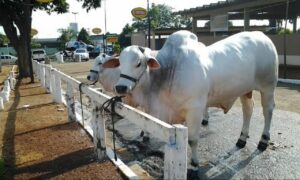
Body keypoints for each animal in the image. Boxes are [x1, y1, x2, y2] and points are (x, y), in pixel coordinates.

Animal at [103, 30, 278, 166]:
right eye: (119, 62)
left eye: (139, 63)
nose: (120, 87)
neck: (168, 72)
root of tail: (263, 36)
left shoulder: (195, 111)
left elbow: (193, 140)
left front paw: (194, 163)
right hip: (245, 90)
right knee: (248, 110)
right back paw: (241, 139)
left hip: (268, 87)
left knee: (268, 111)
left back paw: (263, 140)